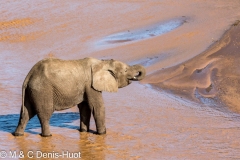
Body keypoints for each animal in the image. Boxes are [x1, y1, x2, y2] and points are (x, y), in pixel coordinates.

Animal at [13, 57, 146, 136]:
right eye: (125, 70)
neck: (102, 62)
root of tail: (29, 75)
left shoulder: (85, 87)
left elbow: (85, 108)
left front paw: (84, 131)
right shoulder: (91, 85)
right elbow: (97, 107)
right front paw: (102, 134)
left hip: (32, 91)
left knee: (26, 113)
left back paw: (18, 135)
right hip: (42, 91)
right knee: (44, 114)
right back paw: (48, 136)